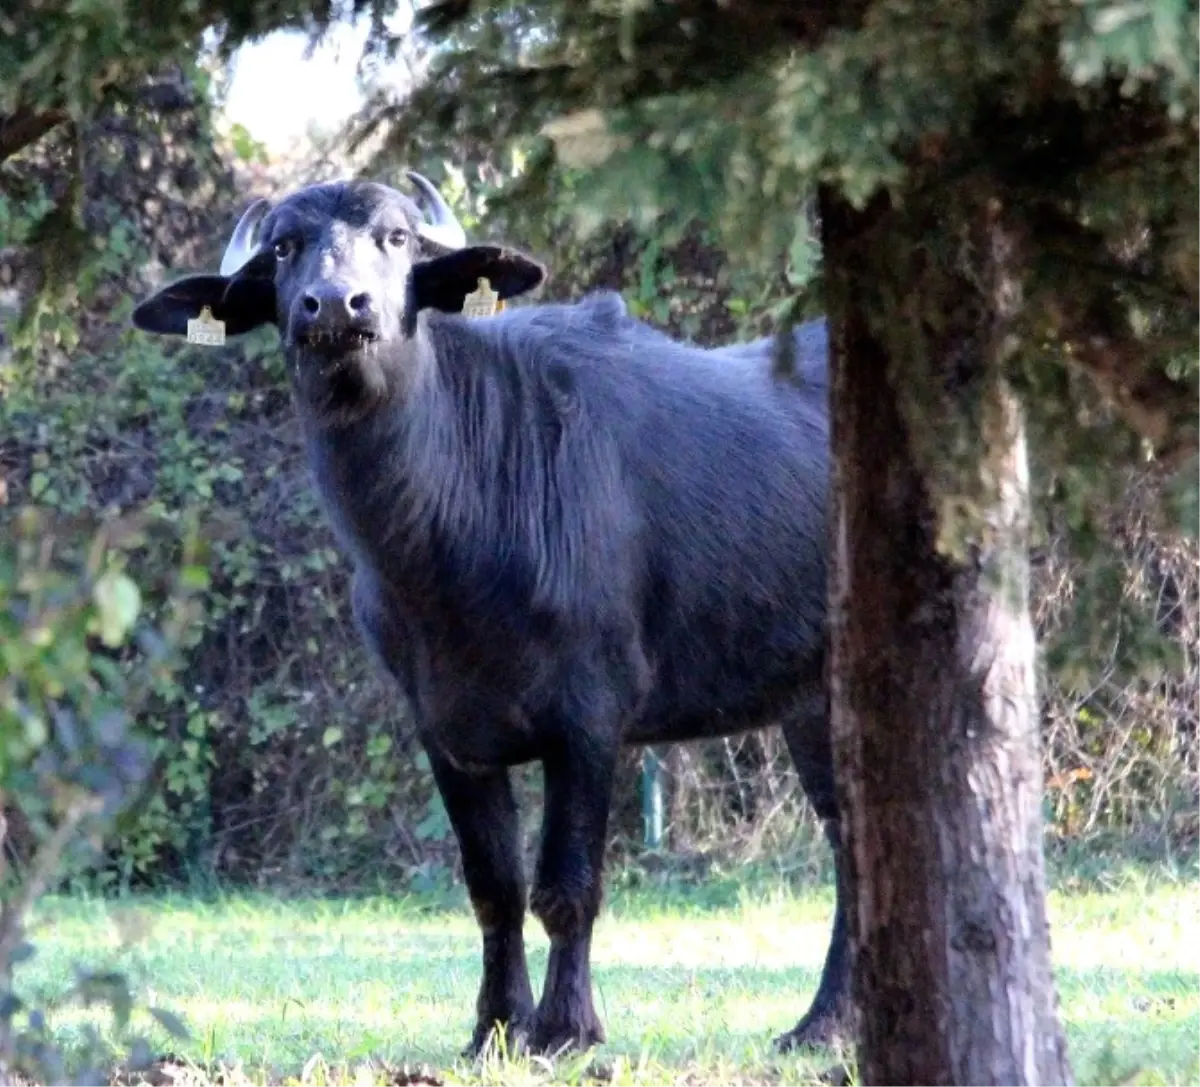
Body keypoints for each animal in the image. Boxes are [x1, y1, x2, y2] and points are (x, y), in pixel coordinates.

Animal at [129, 173, 844, 1055]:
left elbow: (568, 884)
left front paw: (567, 1027)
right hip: (811, 703)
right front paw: (496, 1025)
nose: (337, 305)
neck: (451, 534)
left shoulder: (590, 719)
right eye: (287, 247)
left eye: (398, 238)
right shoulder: (445, 731)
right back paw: (823, 1023)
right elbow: (493, 886)